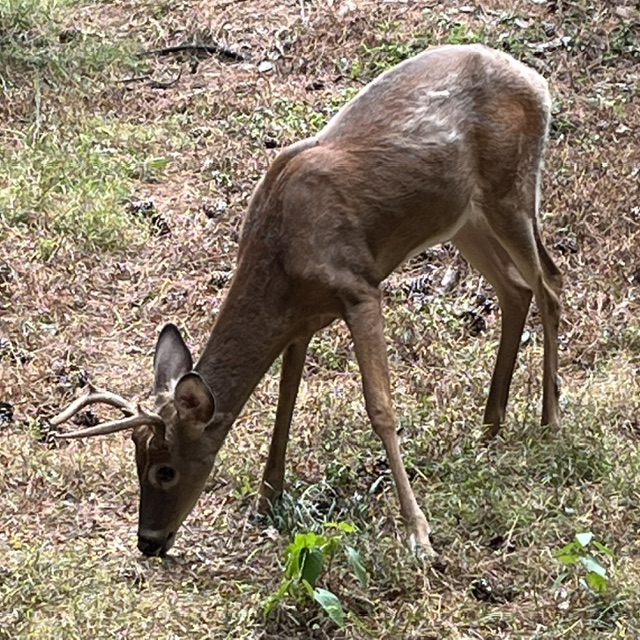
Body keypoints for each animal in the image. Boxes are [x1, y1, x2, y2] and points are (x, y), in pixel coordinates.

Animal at [51, 44, 562, 560]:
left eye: (165, 469)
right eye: (137, 460)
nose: (148, 541)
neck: (281, 259)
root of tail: (536, 80)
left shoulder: (359, 288)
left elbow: (380, 408)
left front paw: (419, 533)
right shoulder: (301, 321)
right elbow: (285, 402)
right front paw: (266, 499)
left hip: (510, 190)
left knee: (550, 283)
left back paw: (550, 421)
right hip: (464, 218)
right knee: (516, 289)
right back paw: (490, 427)